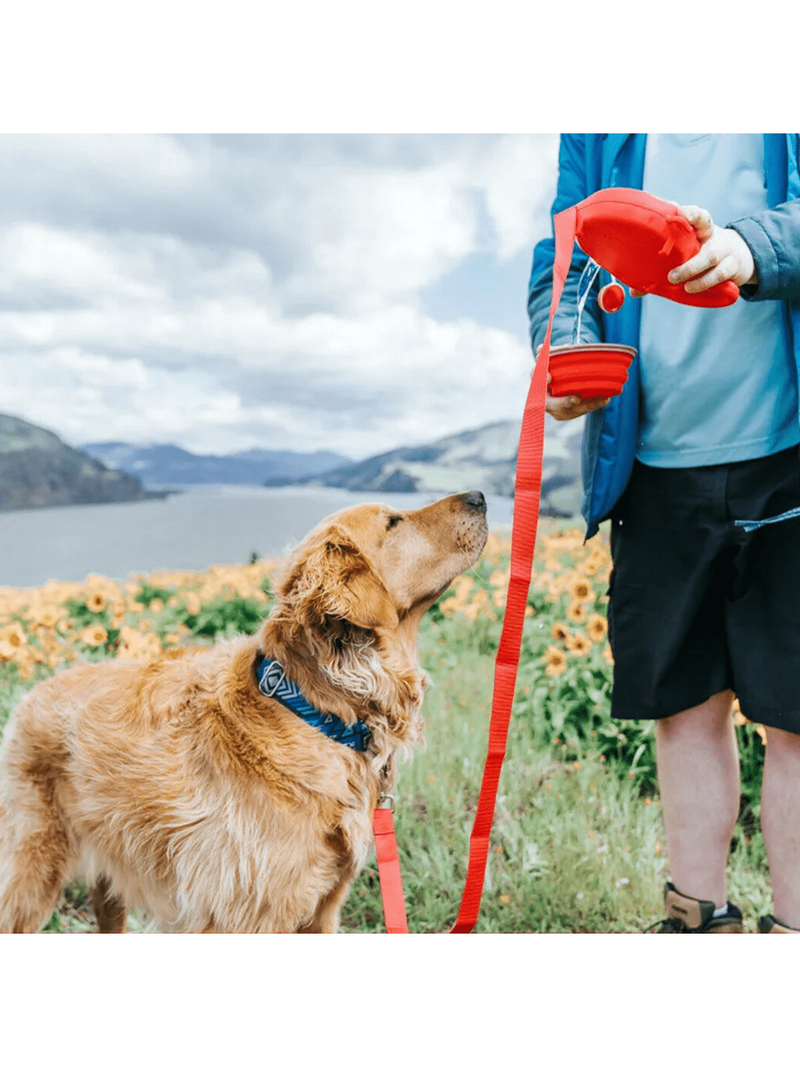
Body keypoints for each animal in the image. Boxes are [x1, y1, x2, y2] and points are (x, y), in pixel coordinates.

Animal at [0, 490, 488, 934]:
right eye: (393, 522)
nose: (480, 497)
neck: (314, 712)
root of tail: (33, 691)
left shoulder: (323, 910)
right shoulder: (241, 916)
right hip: (31, 874)